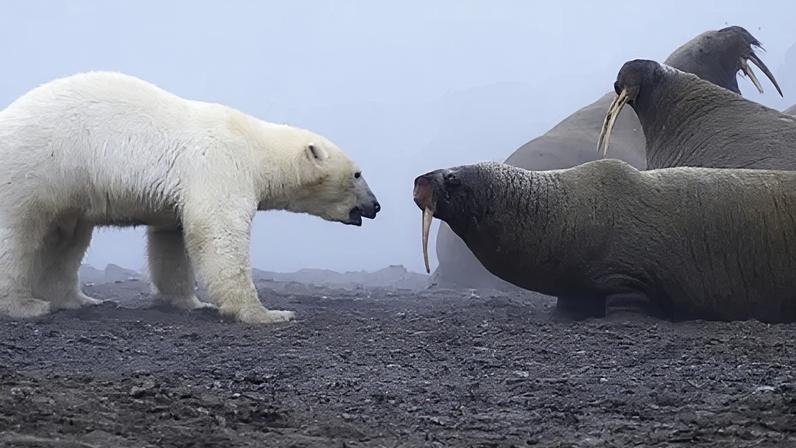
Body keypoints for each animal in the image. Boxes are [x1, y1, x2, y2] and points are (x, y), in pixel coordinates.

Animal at [0, 71, 380, 324]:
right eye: (358, 174)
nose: (375, 206)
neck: (255, 146)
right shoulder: (221, 165)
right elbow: (220, 232)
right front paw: (267, 313)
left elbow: (171, 241)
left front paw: (189, 303)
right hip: (36, 166)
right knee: (19, 234)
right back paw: (26, 306)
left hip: (68, 187)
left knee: (67, 239)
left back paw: (79, 300)